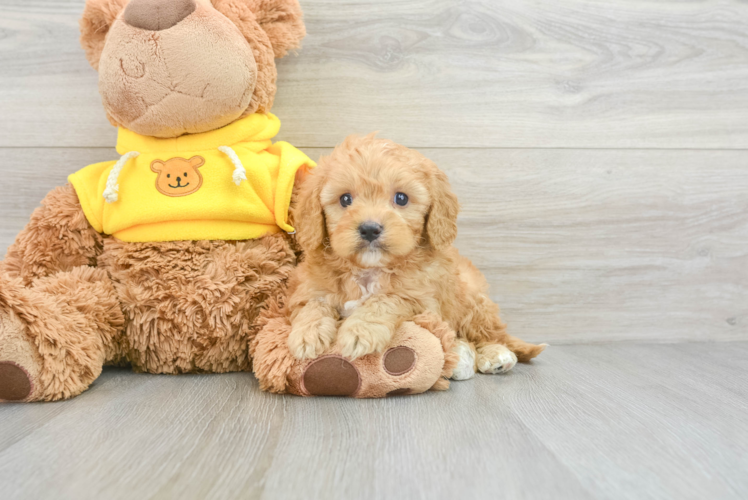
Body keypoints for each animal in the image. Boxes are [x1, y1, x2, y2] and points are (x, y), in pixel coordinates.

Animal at [286, 135, 544, 376]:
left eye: (401, 198)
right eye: (345, 199)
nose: (369, 229)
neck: (369, 269)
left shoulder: (422, 301)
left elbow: (386, 299)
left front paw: (360, 331)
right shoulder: (309, 290)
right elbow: (314, 305)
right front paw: (307, 334)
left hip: (472, 301)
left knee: (490, 334)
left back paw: (495, 354)